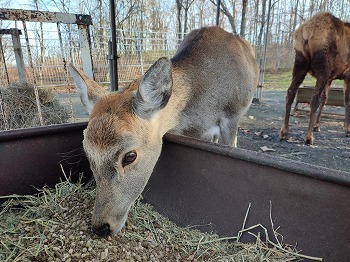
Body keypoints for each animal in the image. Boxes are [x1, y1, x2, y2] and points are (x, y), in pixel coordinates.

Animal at [278, 12, 350, 144]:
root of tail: (307, 31)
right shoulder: (347, 74)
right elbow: (346, 100)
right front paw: (347, 129)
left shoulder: (330, 79)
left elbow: (325, 98)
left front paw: (317, 125)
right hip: (323, 67)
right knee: (314, 98)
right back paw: (308, 136)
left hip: (300, 62)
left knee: (290, 92)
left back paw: (284, 132)